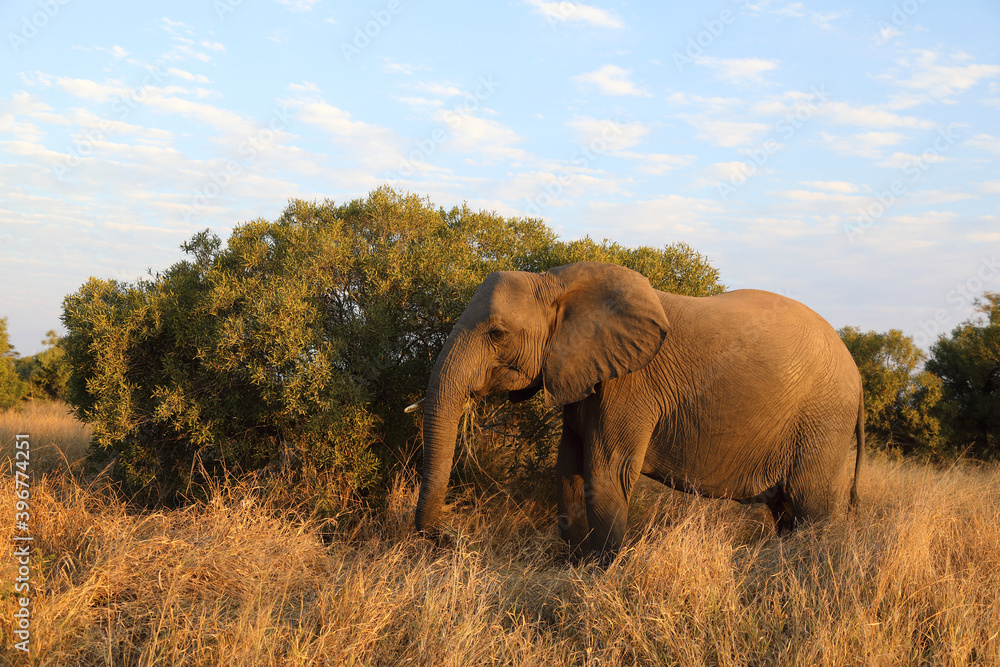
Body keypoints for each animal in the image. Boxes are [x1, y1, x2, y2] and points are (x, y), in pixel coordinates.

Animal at [414, 261, 864, 562]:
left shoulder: (630, 384)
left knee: (811, 507)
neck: (558, 282)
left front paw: (599, 573)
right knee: (786, 510)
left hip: (823, 420)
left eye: (497, 334)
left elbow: (605, 470)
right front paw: (576, 565)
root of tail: (858, 376)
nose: (444, 538)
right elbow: (569, 467)